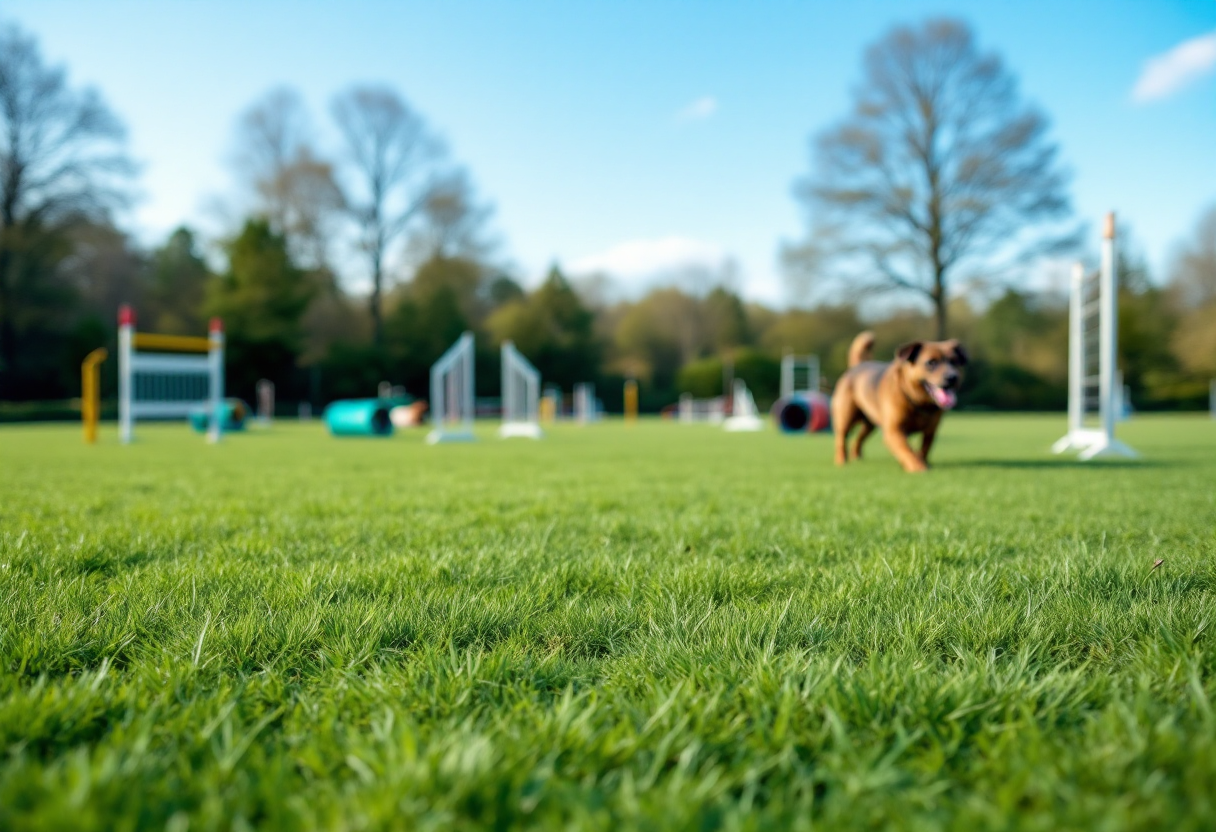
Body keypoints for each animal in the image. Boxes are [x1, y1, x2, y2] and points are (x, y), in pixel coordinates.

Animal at [826, 333, 967, 474]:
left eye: (955, 362)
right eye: (931, 362)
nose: (952, 377)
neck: (919, 403)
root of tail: (857, 366)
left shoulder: (930, 432)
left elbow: (924, 449)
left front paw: (920, 461)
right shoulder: (893, 431)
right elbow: (907, 450)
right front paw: (918, 467)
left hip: (869, 424)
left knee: (858, 438)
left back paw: (857, 456)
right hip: (846, 418)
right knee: (841, 439)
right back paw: (841, 460)